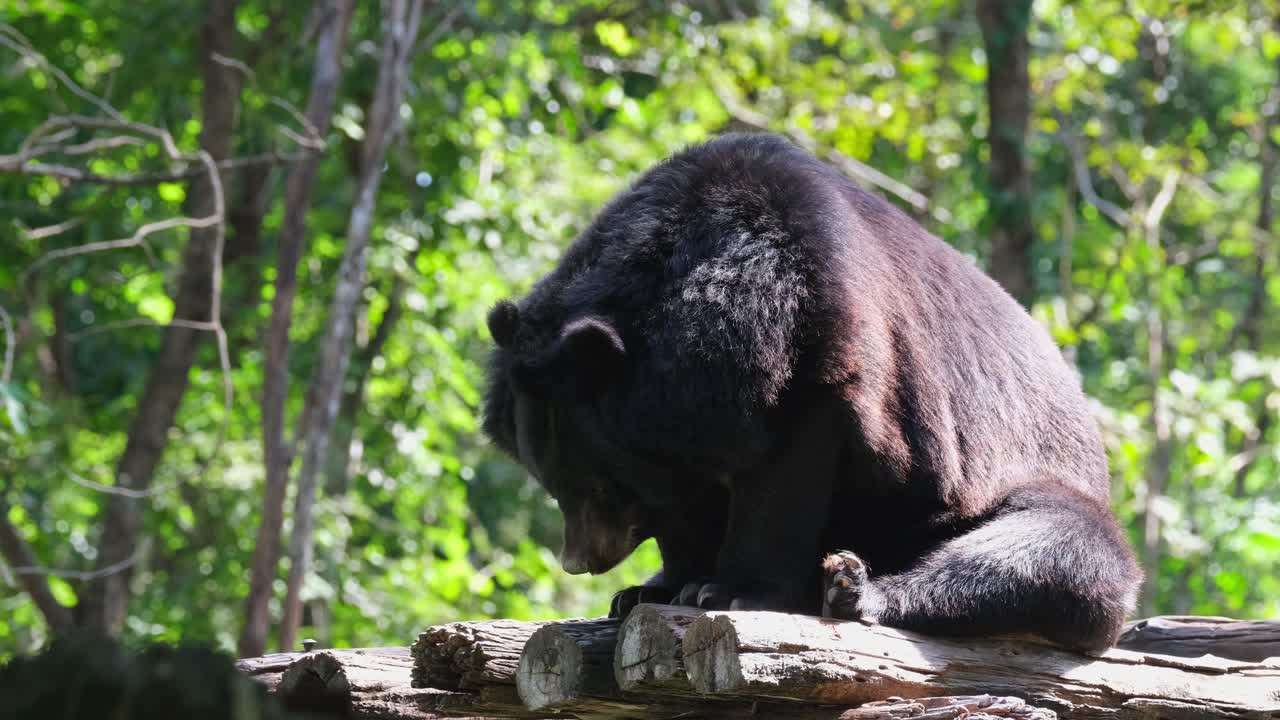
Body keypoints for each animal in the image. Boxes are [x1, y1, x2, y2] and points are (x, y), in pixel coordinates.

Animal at [481, 132, 1141, 651]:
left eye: (595, 486)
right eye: (554, 486)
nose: (579, 560)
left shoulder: (816, 346)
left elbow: (786, 474)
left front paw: (728, 589)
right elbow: (682, 502)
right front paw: (655, 588)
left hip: (1013, 487)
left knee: (1051, 552)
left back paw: (853, 589)